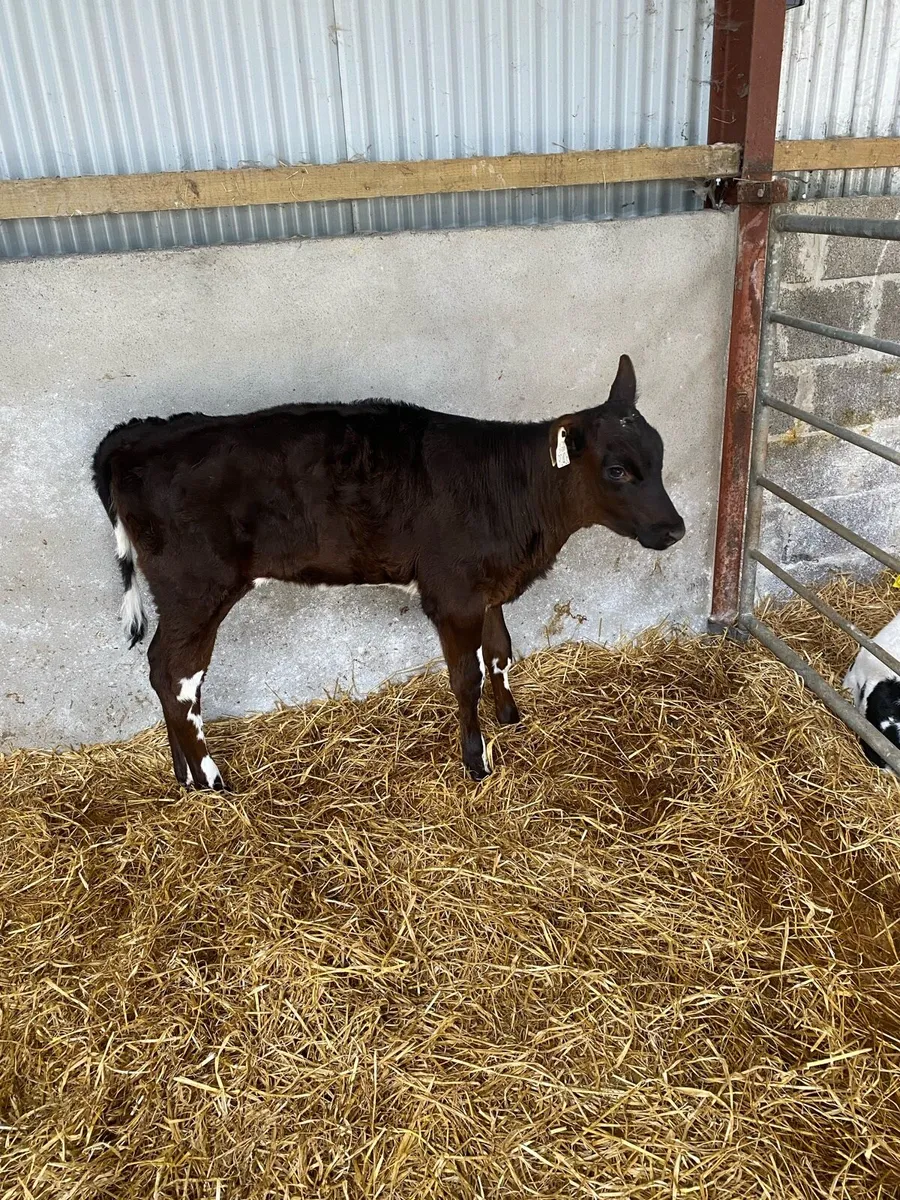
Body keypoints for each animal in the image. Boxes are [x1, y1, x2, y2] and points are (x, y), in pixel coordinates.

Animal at [92, 354, 684, 787]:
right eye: (616, 470)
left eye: (659, 455)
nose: (676, 529)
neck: (512, 492)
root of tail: (139, 435)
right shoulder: (452, 593)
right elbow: (466, 676)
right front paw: (477, 762)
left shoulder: (489, 587)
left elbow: (499, 652)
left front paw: (511, 719)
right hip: (197, 588)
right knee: (178, 676)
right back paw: (213, 780)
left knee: (159, 669)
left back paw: (183, 774)